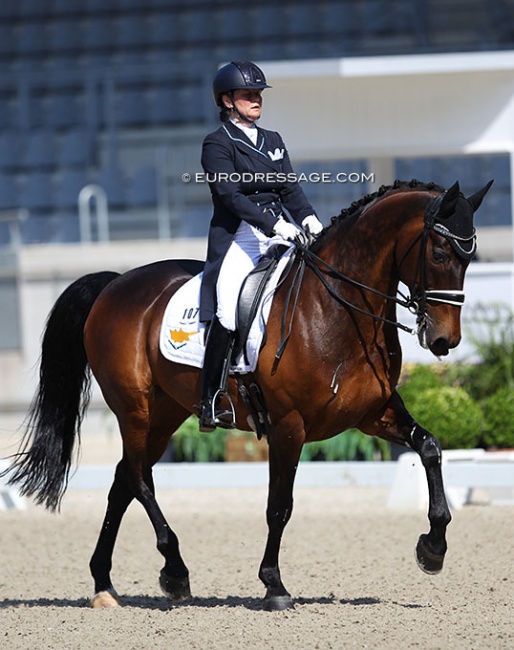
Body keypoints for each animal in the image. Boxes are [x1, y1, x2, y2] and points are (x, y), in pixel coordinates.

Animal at [4, 180, 492, 612]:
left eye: (471, 258)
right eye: (440, 252)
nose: (445, 340)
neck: (338, 309)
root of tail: (114, 283)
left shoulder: (374, 414)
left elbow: (430, 447)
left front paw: (432, 548)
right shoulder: (288, 427)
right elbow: (280, 507)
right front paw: (274, 586)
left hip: (166, 413)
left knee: (124, 479)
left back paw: (104, 584)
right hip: (134, 408)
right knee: (139, 479)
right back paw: (175, 572)